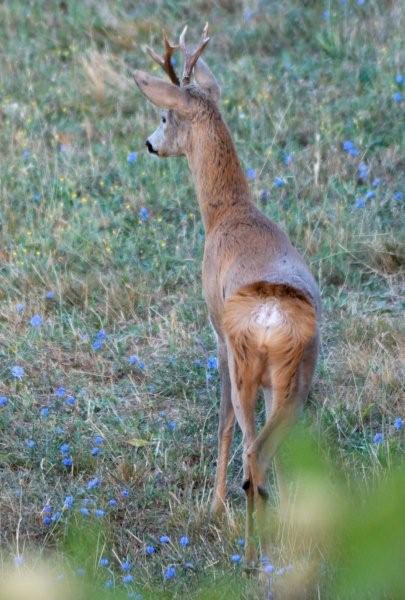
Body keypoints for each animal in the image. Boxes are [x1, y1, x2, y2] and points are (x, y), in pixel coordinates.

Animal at [134, 23, 320, 564]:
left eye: (164, 115)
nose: (149, 144)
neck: (228, 213)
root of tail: (273, 315)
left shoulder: (215, 329)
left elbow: (220, 423)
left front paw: (213, 505)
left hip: (243, 361)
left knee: (249, 444)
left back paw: (249, 540)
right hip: (297, 375)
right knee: (273, 447)